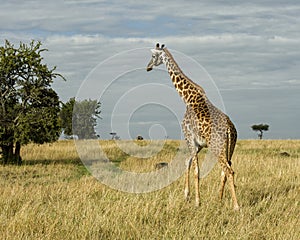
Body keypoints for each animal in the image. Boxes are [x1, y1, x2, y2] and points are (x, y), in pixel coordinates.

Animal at [145, 43, 239, 210]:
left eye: (153, 56)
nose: (148, 67)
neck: (187, 98)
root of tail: (230, 129)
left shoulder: (189, 137)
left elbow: (196, 170)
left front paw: (197, 201)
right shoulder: (199, 144)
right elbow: (187, 162)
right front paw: (186, 195)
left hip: (217, 147)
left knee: (229, 171)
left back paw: (236, 206)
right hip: (229, 147)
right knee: (225, 169)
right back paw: (219, 199)